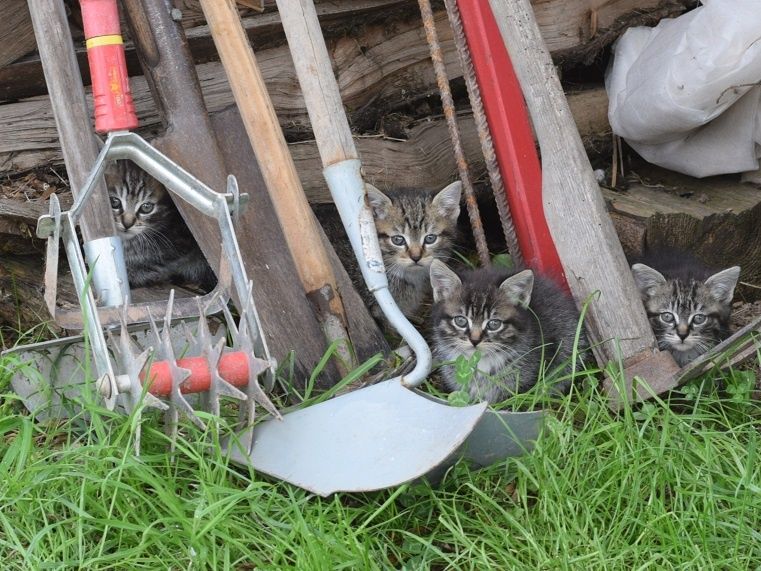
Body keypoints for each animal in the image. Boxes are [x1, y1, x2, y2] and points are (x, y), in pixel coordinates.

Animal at [104, 161, 217, 292]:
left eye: (146, 207)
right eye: (114, 202)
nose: (127, 224)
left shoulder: (182, 241)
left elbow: (162, 261)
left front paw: (134, 274)